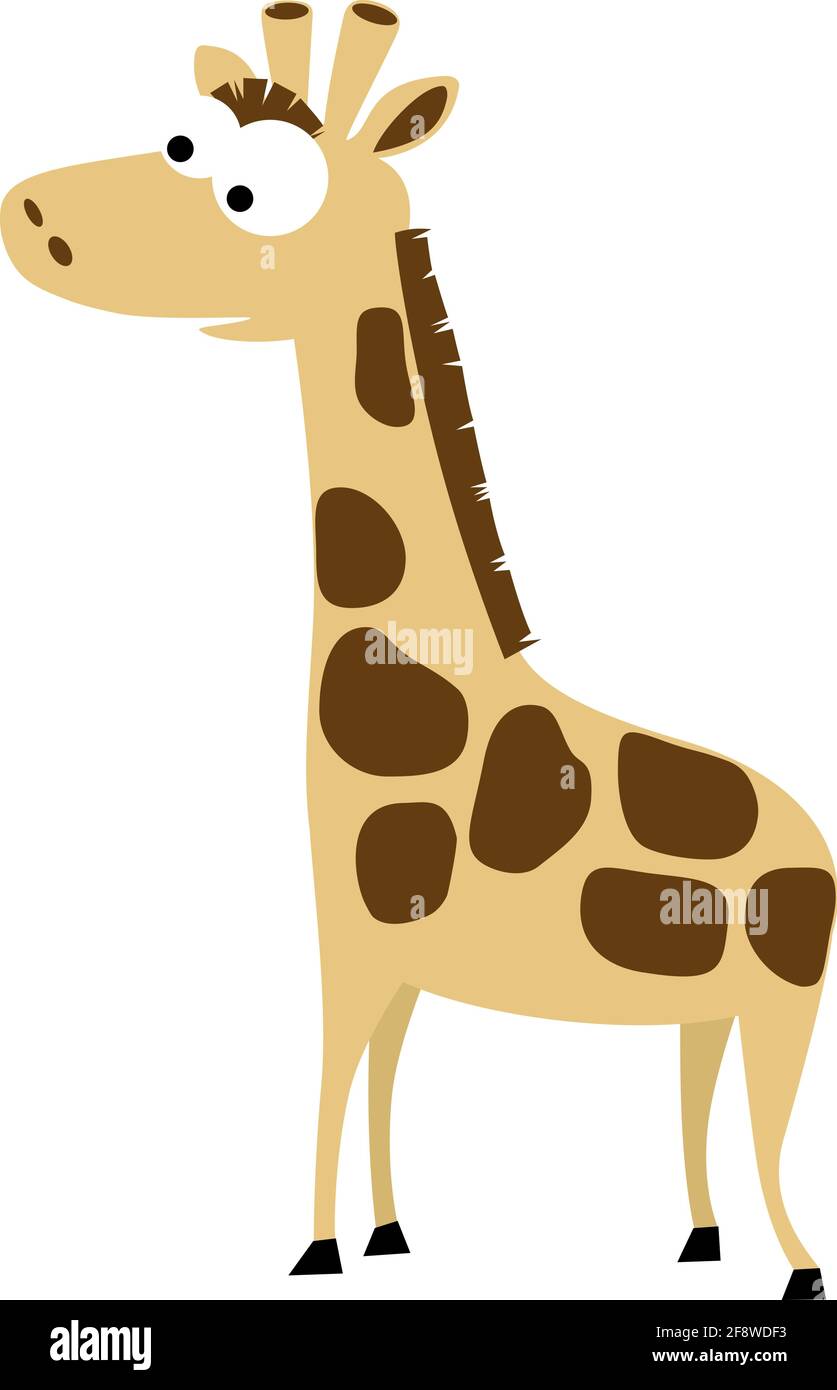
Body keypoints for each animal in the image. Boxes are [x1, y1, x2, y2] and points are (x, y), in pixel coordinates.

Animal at [1, 4, 834, 1301]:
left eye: (248, 192)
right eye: (182, 138)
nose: (31, 217)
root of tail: (821, 848)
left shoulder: (353, 929)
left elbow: (339, 1066)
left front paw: (314, 1248)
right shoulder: (397, 945)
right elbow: (385, 1069)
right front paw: (389, 1235)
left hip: (790, 999)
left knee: (769, 1122)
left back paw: (796, 1267)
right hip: (712, 1002)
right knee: (703, 1100)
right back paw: (699, 1244)